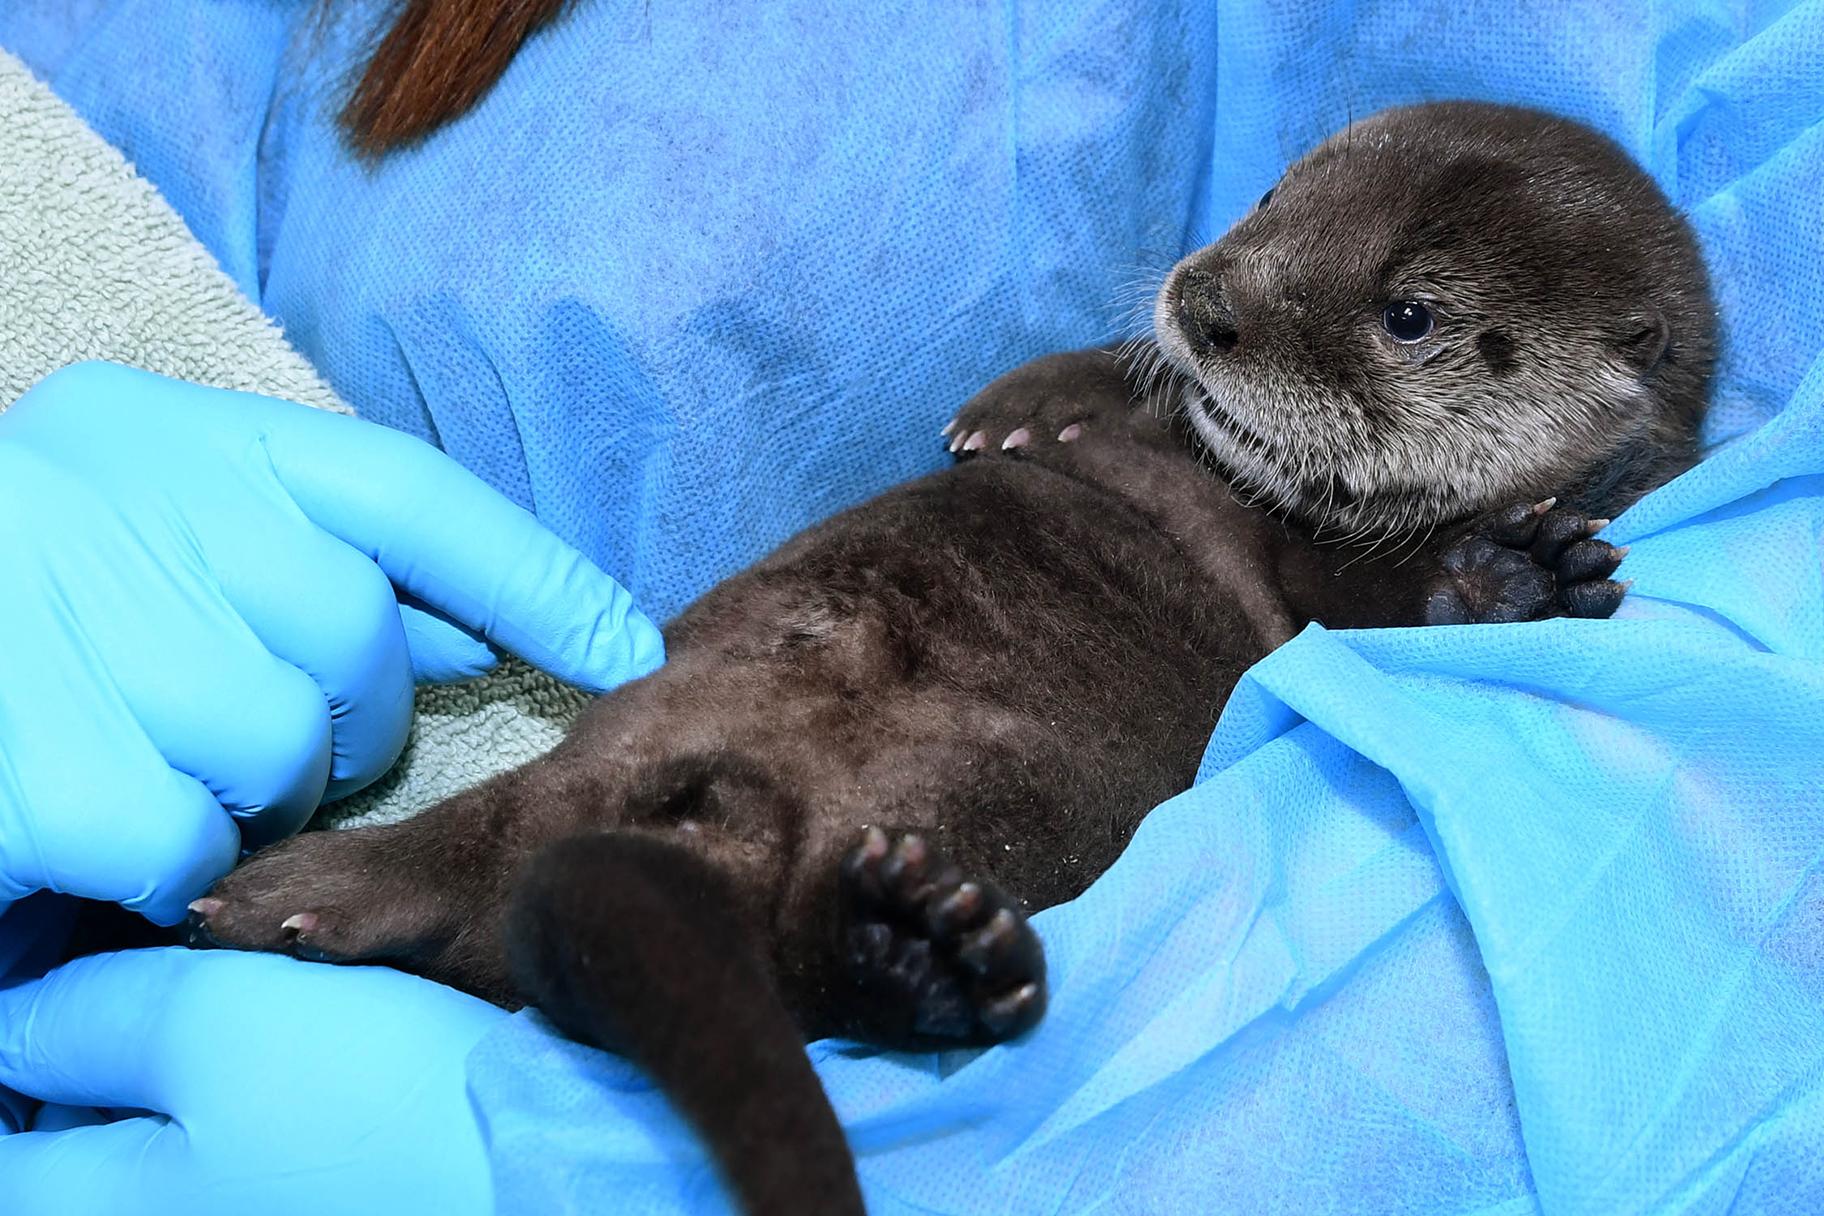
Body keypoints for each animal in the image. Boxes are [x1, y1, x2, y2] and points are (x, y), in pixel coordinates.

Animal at [186, 102, 1714, 1215]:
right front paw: (1021, 404)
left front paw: (1515, 575)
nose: (1208, 296)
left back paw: (915, 955)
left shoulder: (1326, 580)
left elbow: (1363, 609)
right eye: (1280, 196)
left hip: (1009, 783)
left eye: (1409, 314)